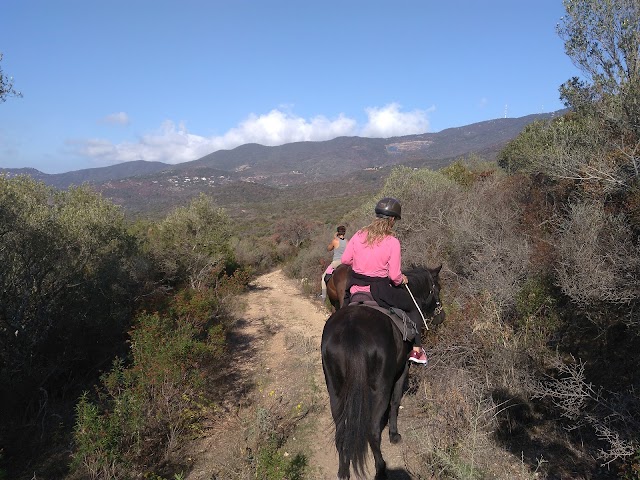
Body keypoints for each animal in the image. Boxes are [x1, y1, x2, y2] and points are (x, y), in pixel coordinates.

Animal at [322, 266, 442, 480]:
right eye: (438, 288)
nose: (441, 316)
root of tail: (352, 331)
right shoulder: (402, 370)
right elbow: (395, 402)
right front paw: (394, 434)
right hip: (380, 387)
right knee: (372, 430)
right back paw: (381, 469)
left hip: (335, 389)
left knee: (341, 428)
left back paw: (343, 470)